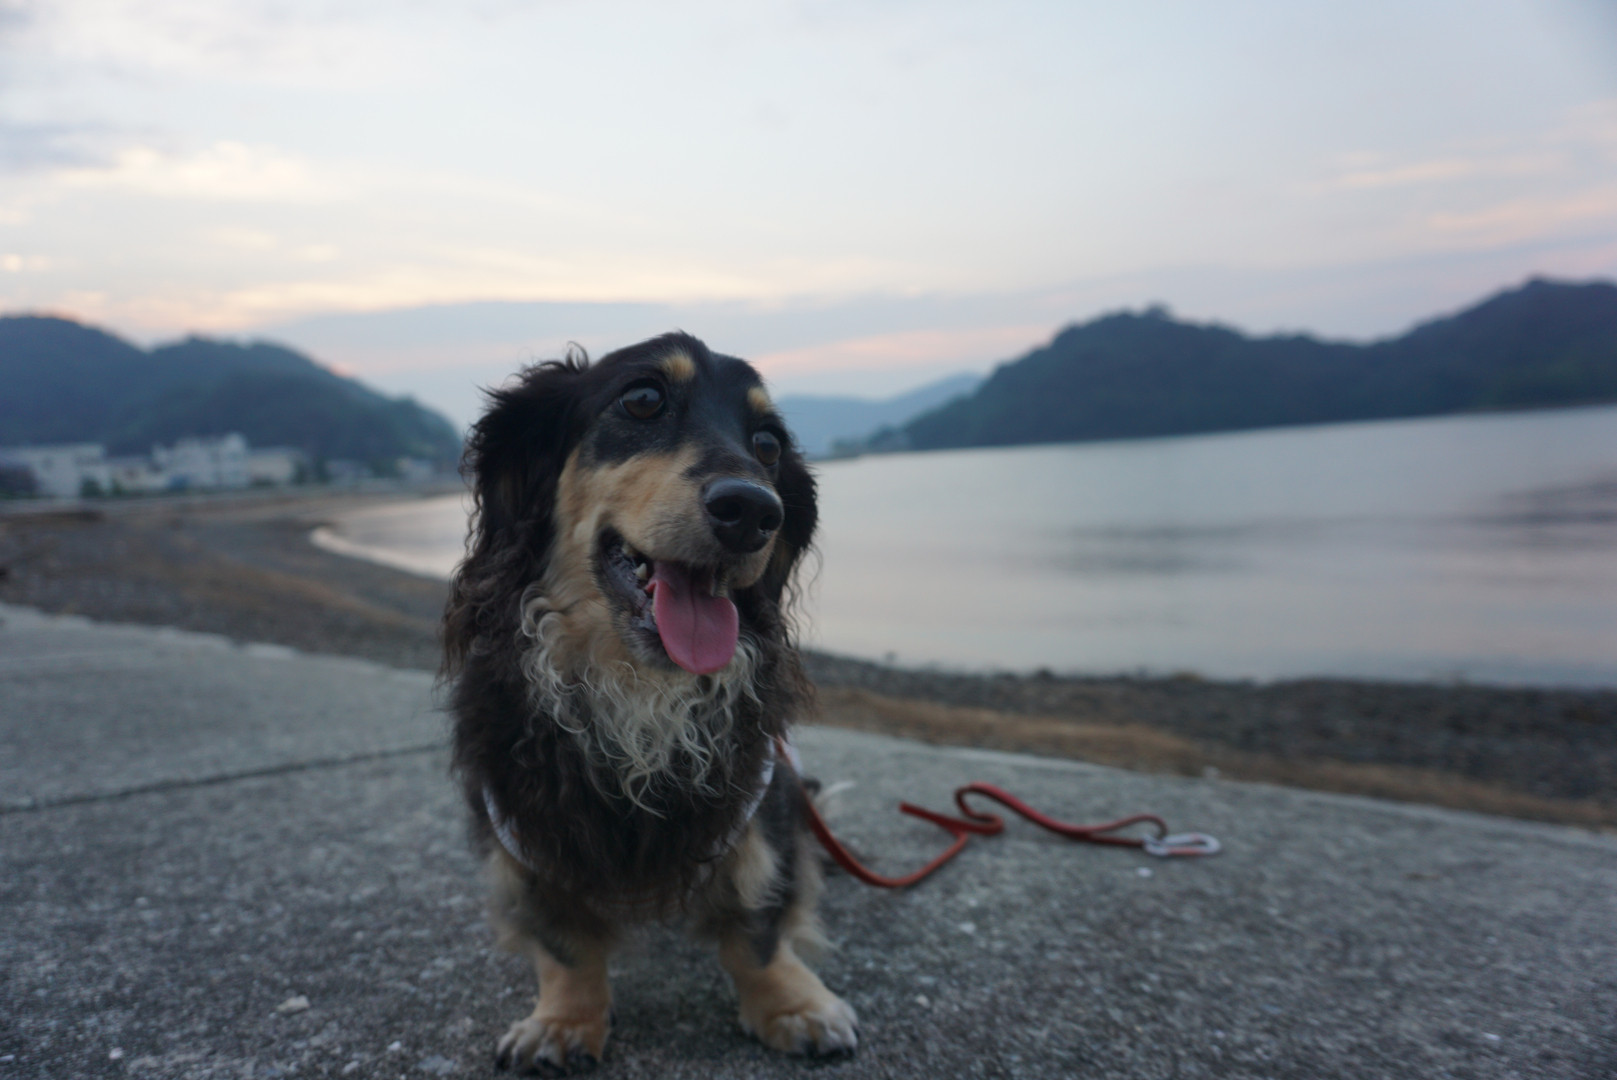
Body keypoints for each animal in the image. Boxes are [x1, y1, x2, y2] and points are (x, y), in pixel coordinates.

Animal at [442, 333, 857, 1074]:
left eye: (768, 443)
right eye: (642, 400)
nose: (754, 511)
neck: (641, 685)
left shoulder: (759, 797)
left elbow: (759, 925)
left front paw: (792, 1005)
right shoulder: (520, 820)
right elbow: (562, 944)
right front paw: (563, 1022)